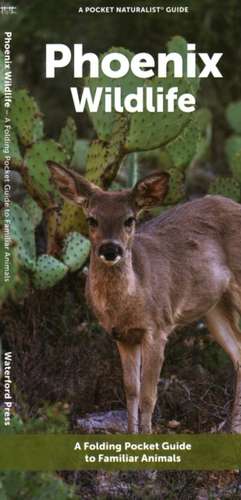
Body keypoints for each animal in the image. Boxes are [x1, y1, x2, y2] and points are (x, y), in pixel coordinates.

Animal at [48, 163, 241, 434]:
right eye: (92, 219)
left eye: (130, 220)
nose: (110, 249)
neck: (129, 302)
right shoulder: (122, 336)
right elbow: (132, 391)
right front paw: (131, 433)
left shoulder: (157, 328)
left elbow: (149, 395)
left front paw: (148, 435)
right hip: (214, 306)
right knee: (238, 354)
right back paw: (231, 429)